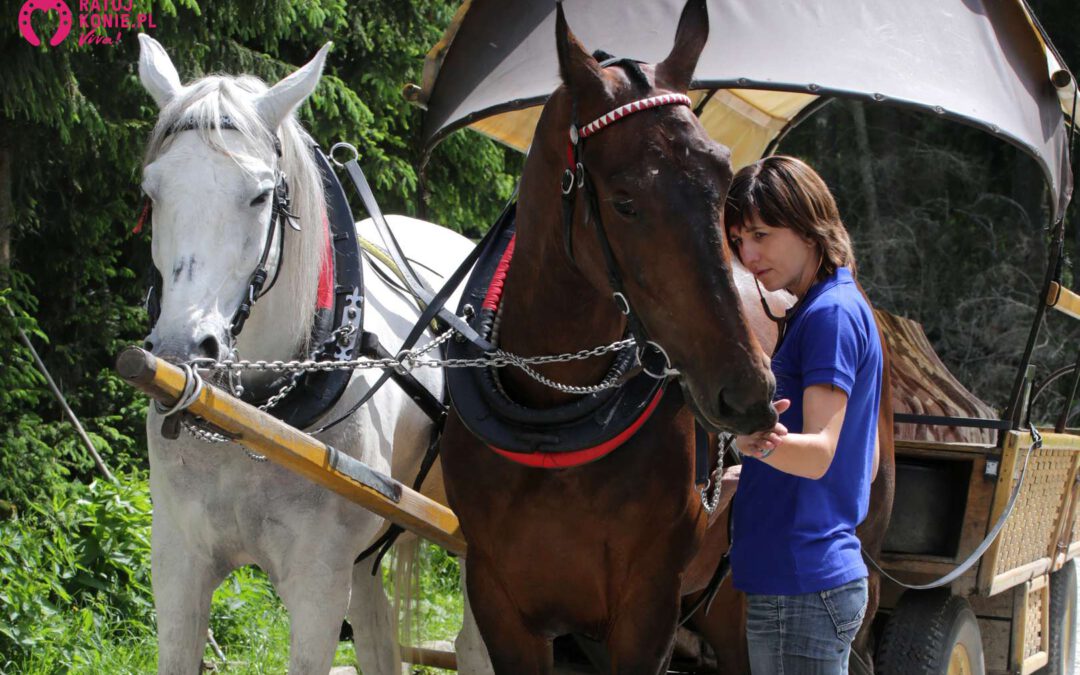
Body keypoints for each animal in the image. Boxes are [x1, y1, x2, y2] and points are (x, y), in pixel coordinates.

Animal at [135, 36, 494, 673]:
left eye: (259, 196)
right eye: (152, 192)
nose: (182, 348)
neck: (254, 421)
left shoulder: (318, 581)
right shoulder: (178, 561)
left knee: (475, 642)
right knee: (378, 635)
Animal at [436, 2, 777, 669]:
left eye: (724, 178)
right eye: (624, 201)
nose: (749, 392)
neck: (552, 424)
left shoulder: (649, 610)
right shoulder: (498, 600)